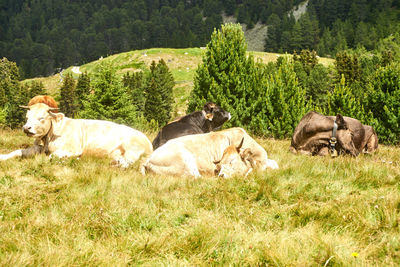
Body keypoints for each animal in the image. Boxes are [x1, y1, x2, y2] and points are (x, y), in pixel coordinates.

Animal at [0, 103, 152, 168]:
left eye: (41, 118)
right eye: (27, 117)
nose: (26, 128)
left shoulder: (74, 149)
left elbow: (52, 157)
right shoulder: (39, 148)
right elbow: (17, 152)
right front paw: (3, 157)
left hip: (132, 148)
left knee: (130, 162)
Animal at [141, 127, 278, 178]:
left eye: (232, 161)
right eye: (220, 165)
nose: (221, 176)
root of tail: (147, 159)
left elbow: (275, 164)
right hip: (185, 160)